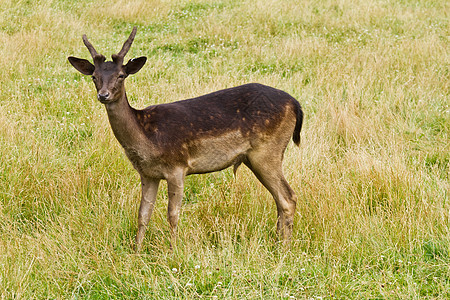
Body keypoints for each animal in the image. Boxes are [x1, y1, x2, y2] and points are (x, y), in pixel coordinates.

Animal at [68, 27, 304, 251]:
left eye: (121, 75)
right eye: (94, 76)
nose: (103, 95)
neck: (146, 137)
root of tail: (295, 104)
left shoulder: (177, 166)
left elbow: (172, 215)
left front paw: (172, 251)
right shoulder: (147, 174)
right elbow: (143, 215)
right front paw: (136, 252)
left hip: (267, 151)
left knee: (288, 197)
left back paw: (284, 248)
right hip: (255, 157)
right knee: (279, 198)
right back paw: (277, 242)